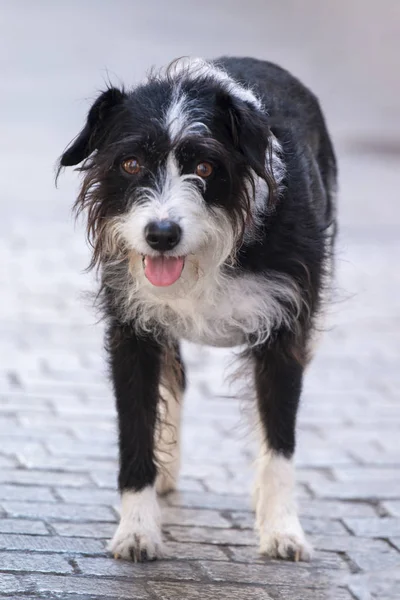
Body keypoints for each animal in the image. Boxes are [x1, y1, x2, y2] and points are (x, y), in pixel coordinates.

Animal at [58, 56, 338, 564]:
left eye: (205, 166)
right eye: (130, 163)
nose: (161, 234)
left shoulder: (286, 327)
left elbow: (280, 436)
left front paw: (282, 528)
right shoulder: (133, 328)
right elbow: (135, 428)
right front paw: (138, 529)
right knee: (176, 383)